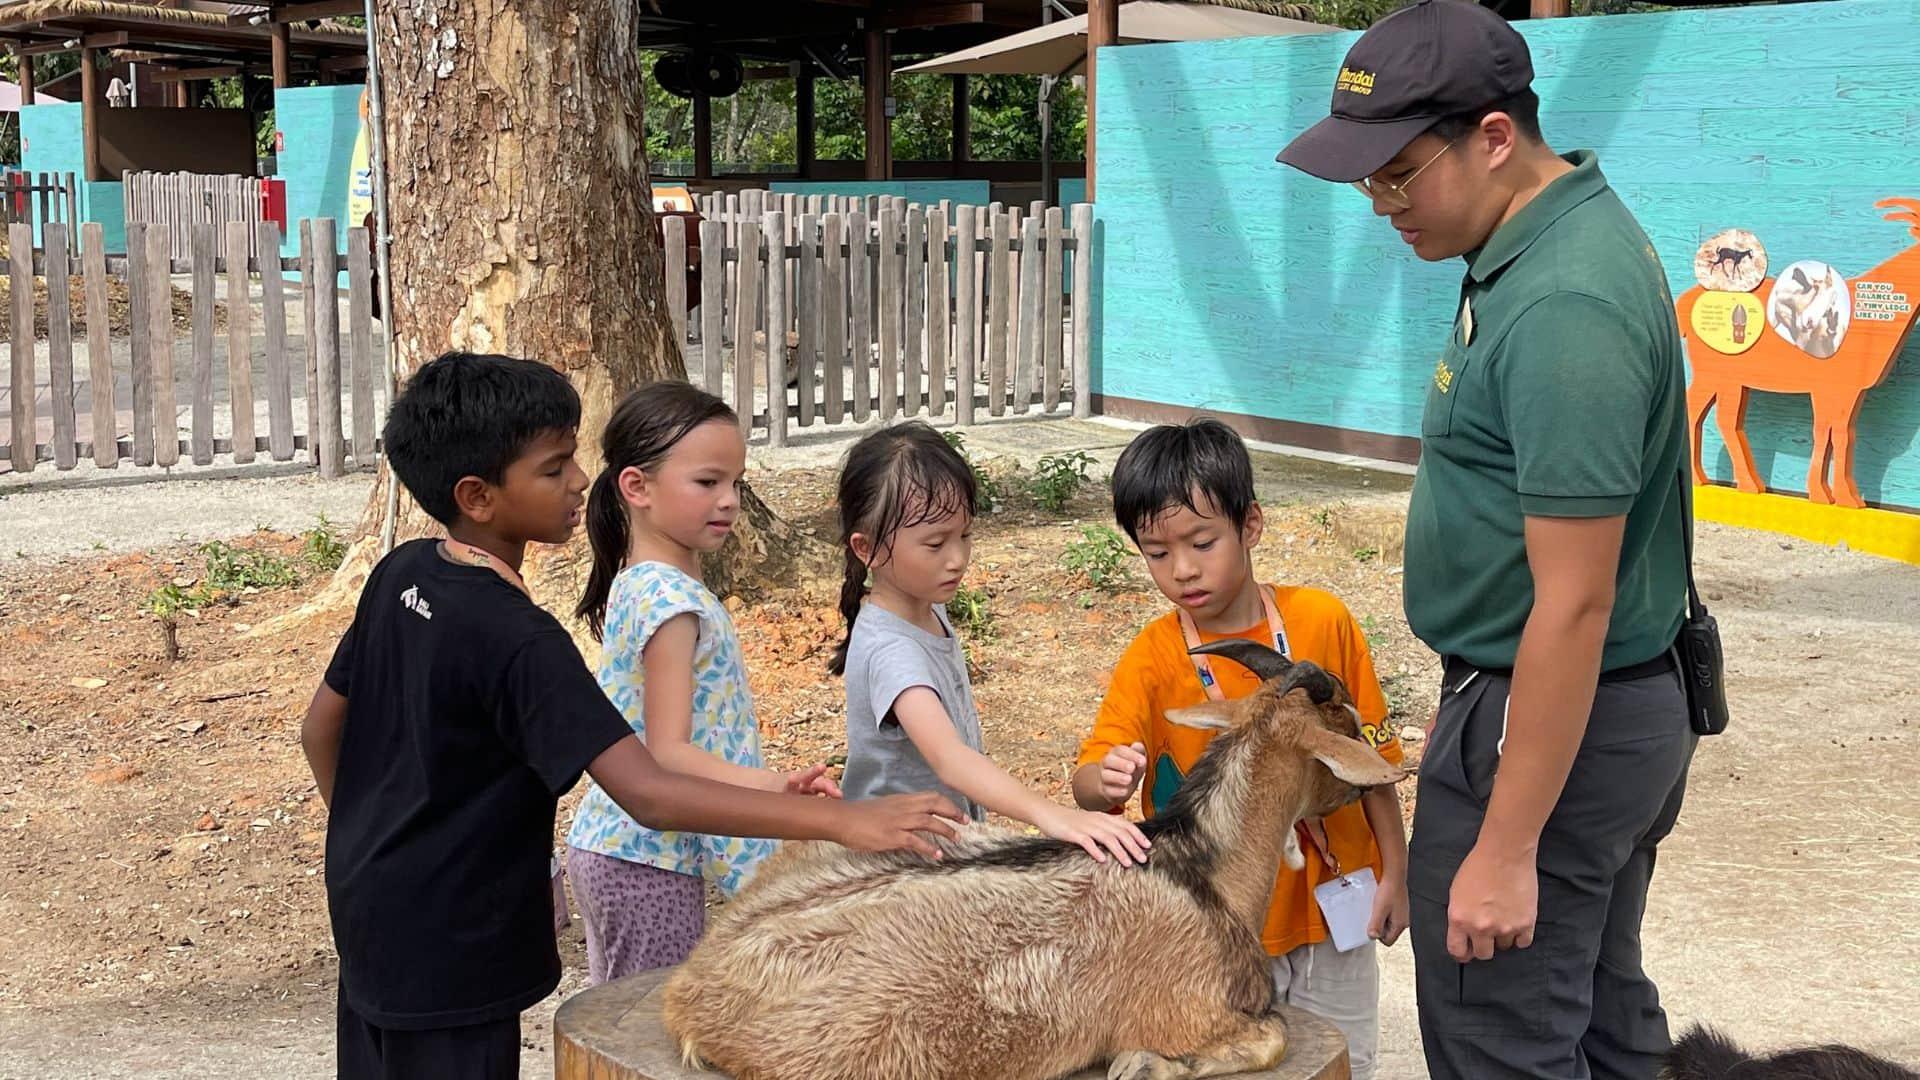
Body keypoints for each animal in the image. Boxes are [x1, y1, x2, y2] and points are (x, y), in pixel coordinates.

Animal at [668, 641, 1405, 1068]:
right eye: (1341, 716)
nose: (1372, 772)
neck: (1202, 870)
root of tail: (690, 994)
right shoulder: (1194, 1013)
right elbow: (1269, 1039)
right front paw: (1143, 1064)